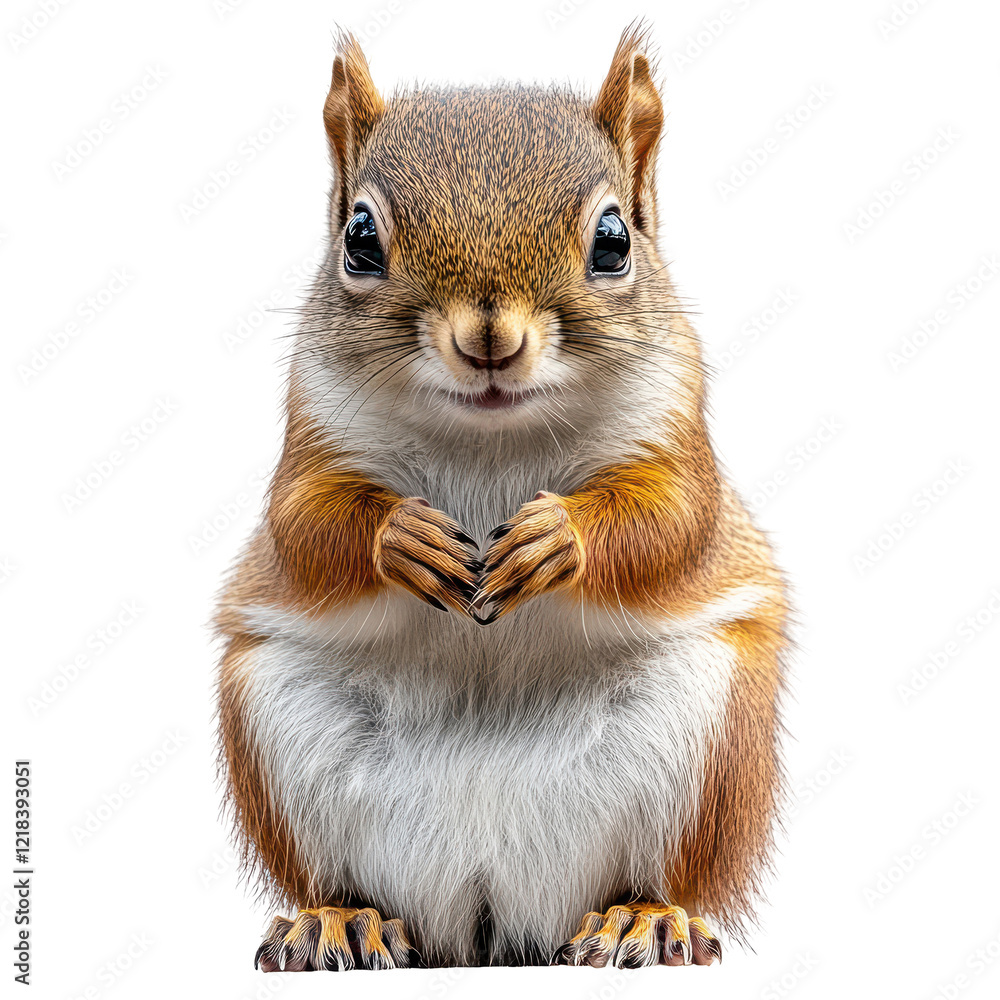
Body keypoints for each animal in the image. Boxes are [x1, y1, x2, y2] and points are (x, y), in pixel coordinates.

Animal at [215, 24, 788, 972]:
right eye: (359, 237)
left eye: (613, 240)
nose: (491, 338)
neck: (490, 433)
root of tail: (488, 913)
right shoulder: (313, 433)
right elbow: (303, 525)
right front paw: (402, 538)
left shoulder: (673, 430)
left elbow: (673, 521)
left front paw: (559, 539)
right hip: (276, 723)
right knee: (338, 877)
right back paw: (339, 918)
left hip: (708, 737)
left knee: (668, 872)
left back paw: (643, 917)